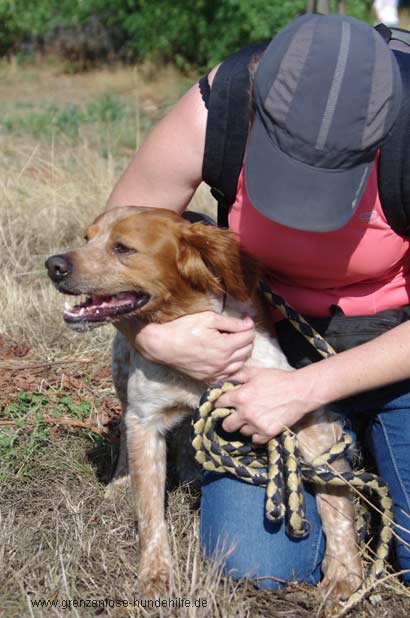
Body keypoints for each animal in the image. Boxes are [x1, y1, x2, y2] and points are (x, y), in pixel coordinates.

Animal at [46, 206, 362, 599]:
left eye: (123, 248)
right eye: (87, 238)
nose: (53, 265)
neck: (190, 324)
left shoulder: (299, 407)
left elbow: (335, 500)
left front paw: (344, 572)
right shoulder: (144, 420)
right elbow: (149, 512)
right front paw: (155, 573)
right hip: (122, 374)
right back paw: (122, 482)